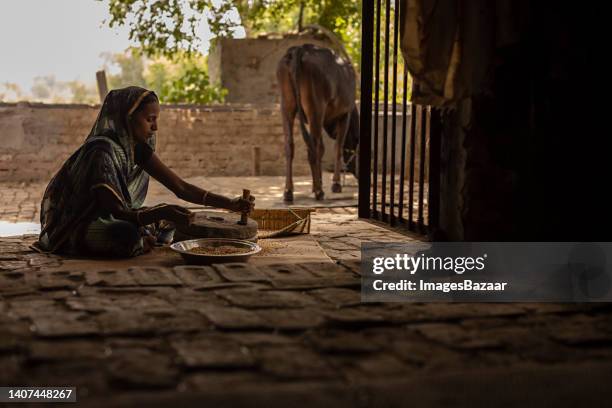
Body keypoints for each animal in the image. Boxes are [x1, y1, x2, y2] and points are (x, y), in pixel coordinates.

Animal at [278, 43, 358, 202]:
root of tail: (300, 48)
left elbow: (322, 148)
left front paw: (319, 181)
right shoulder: (344, 114)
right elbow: (337, 148)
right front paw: (335, 184)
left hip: (287, 105)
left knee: (290, 145)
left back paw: (288, 191)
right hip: (315, 106)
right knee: (312, 148)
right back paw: (319, 192)